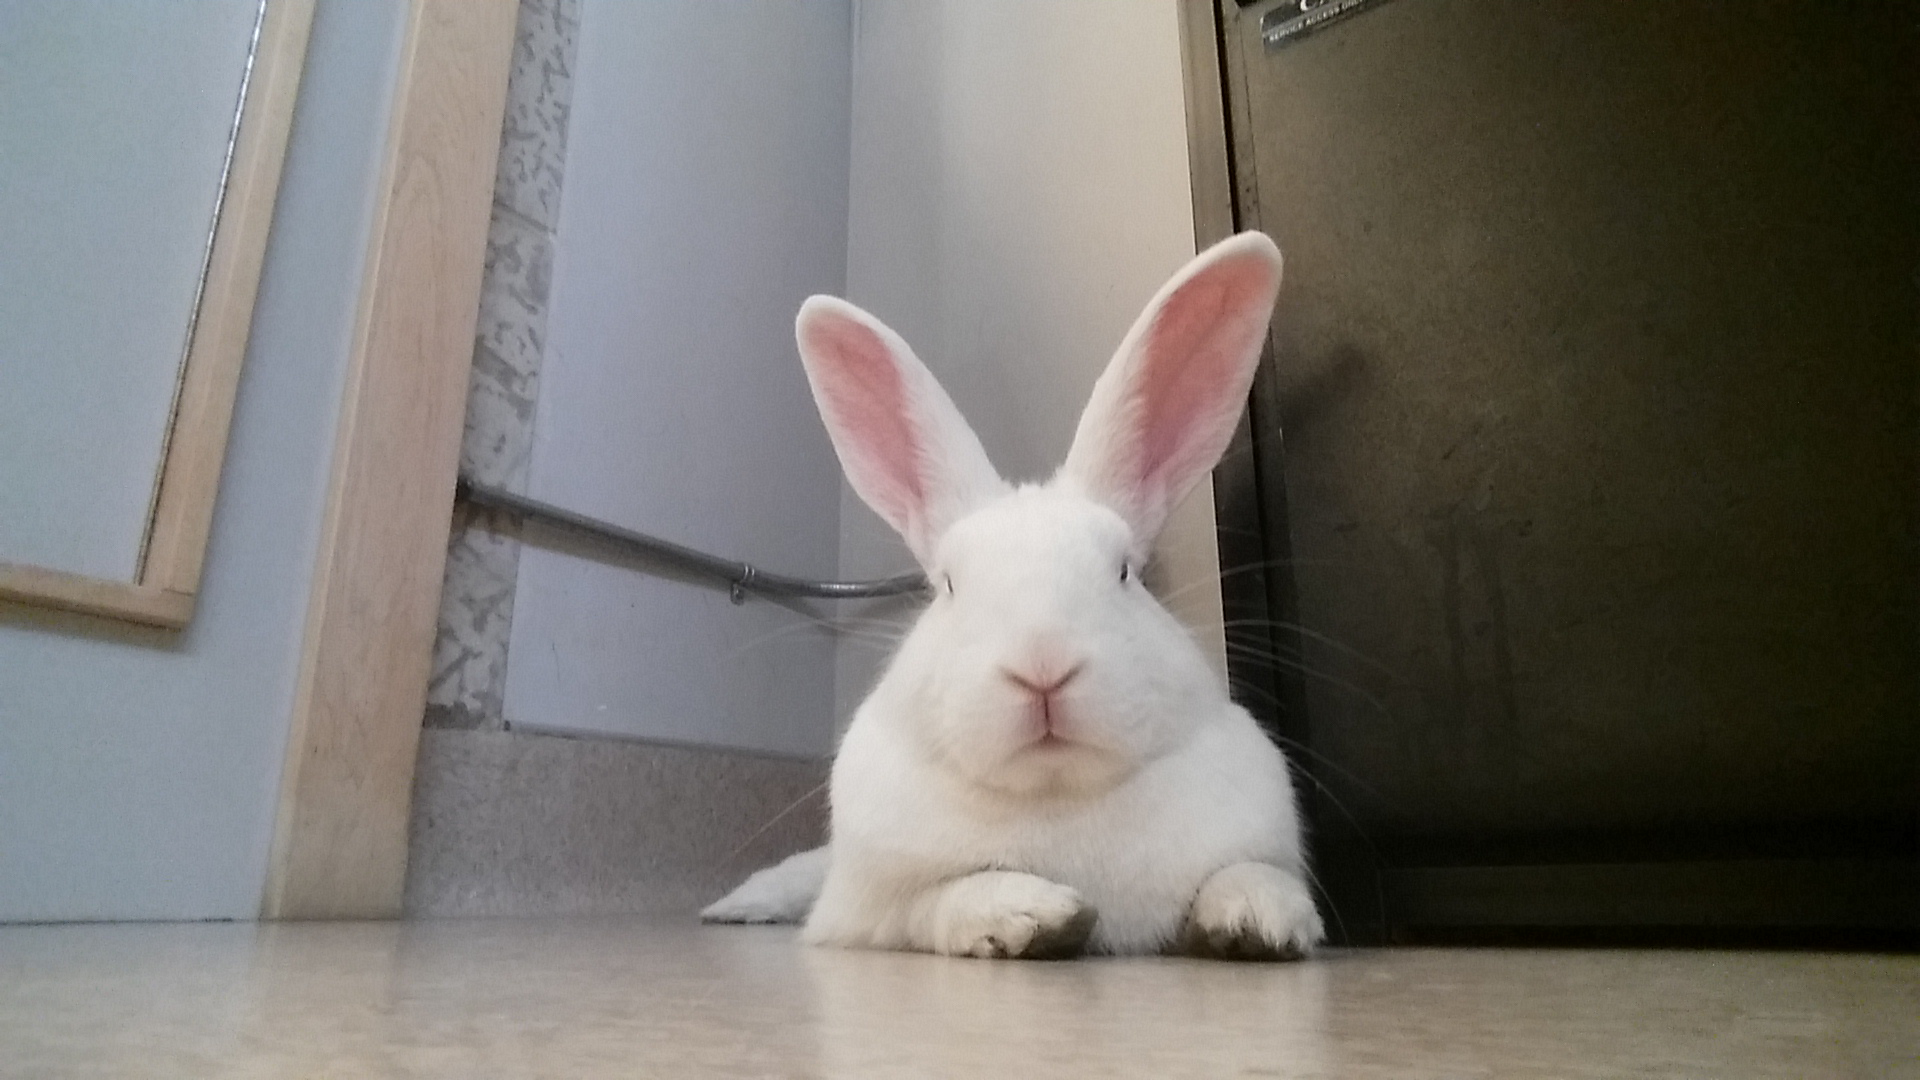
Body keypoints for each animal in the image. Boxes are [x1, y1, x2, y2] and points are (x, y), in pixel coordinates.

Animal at [702, 232, 1322, 960]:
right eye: (948, 585)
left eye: (1123, 573)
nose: (1042, 666)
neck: (1053, 792)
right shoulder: (872, 912)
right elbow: (942, 900)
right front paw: (1030, 915)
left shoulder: (1259, 833)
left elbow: (1250, 872)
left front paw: (1260, 922)